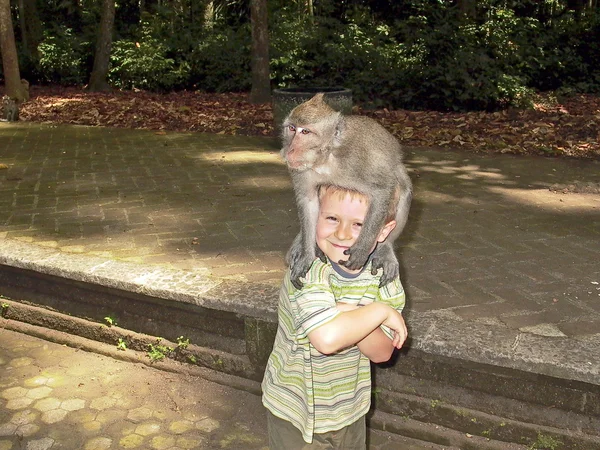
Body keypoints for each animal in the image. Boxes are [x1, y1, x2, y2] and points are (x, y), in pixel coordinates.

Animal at [282, 93, 412, 288]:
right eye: (291, 128)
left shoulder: (358, 161)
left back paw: (386, 247)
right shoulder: (302, 171)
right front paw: (307, 255)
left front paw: (362, 249)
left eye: (305, 132)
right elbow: (308, 200)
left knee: (404, 188)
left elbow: (382, 190)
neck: (327, 157)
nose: (290, 150)